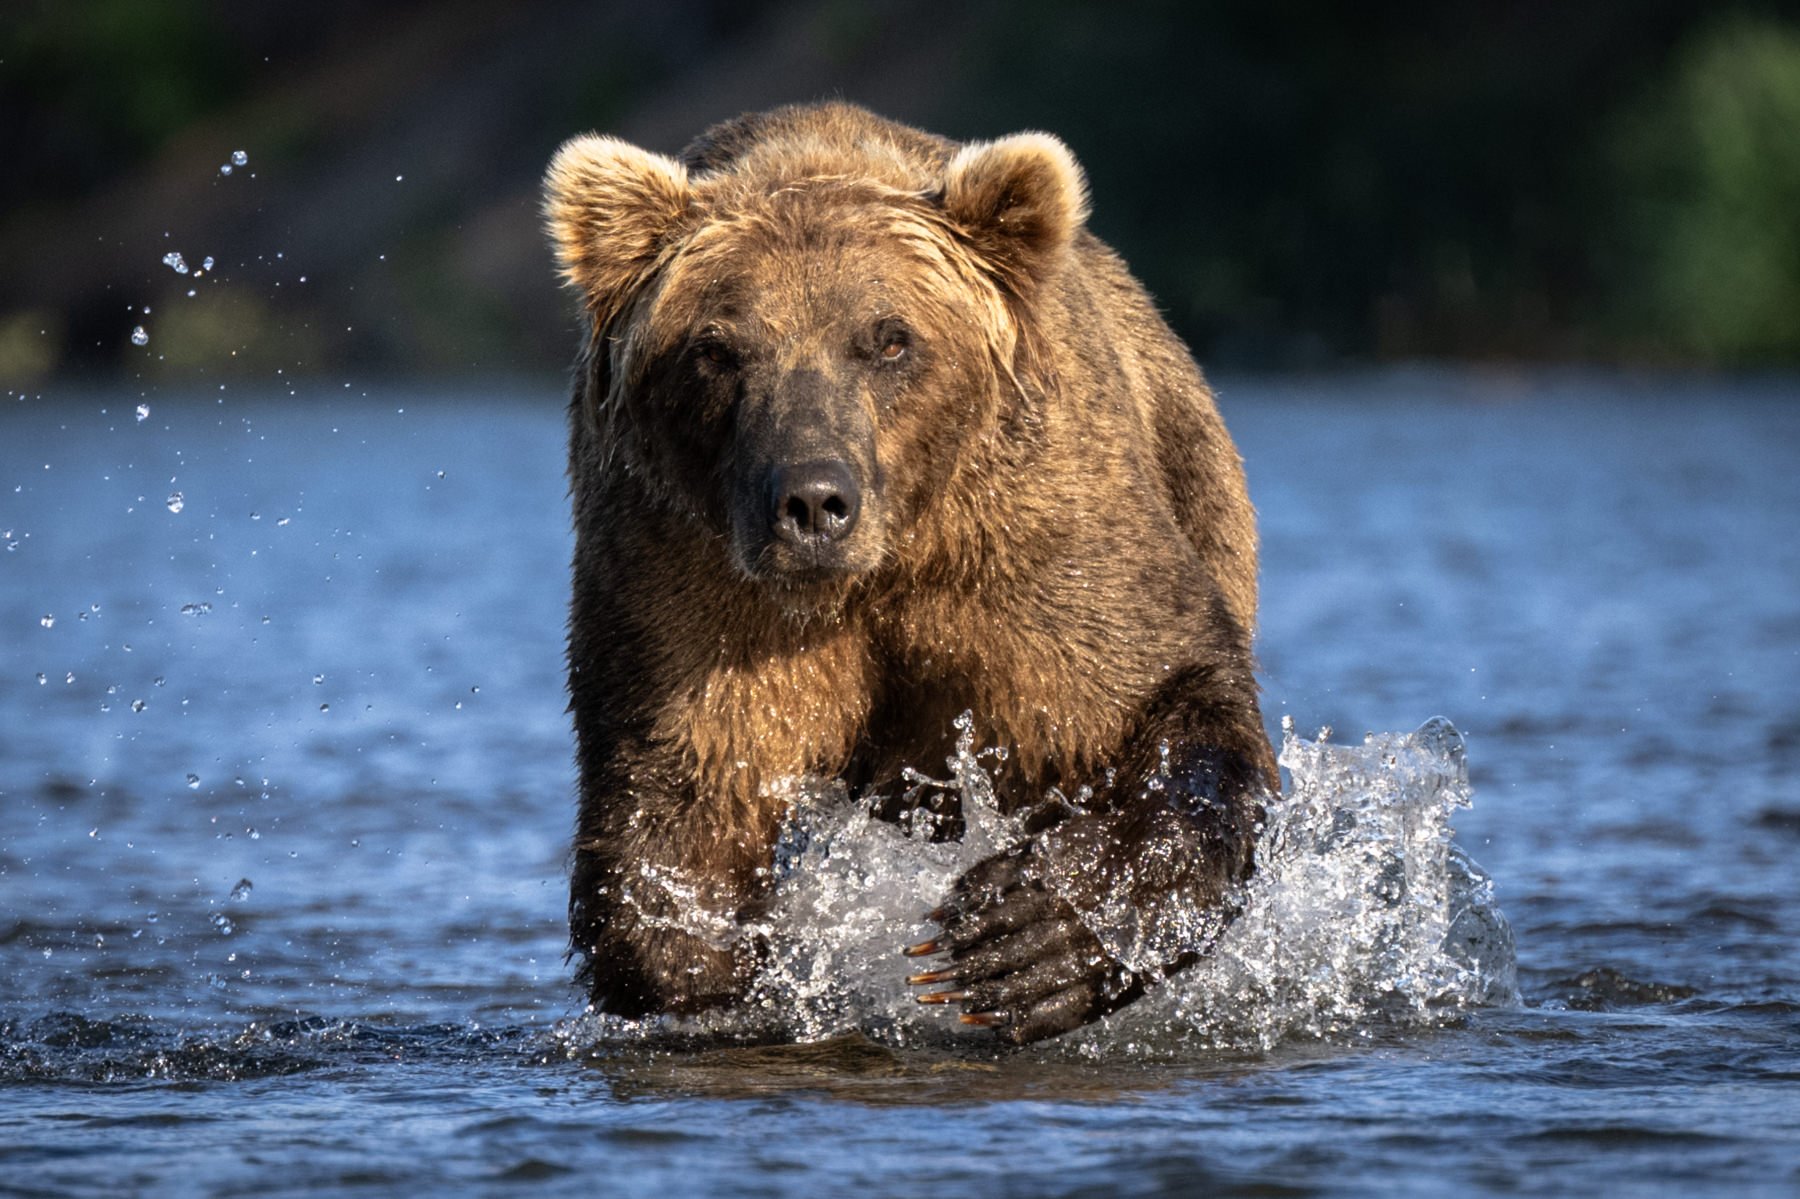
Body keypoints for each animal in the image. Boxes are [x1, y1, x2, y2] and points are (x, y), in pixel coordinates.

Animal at [540, 102, 1274, 1044]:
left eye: (888, 338)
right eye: (717, 349)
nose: (813, 501)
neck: (881, 566)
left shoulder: (1039, 549)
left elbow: (1160, 699)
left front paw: (1024, 935)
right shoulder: (689, 583)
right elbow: (686, 799)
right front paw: (715, 975)